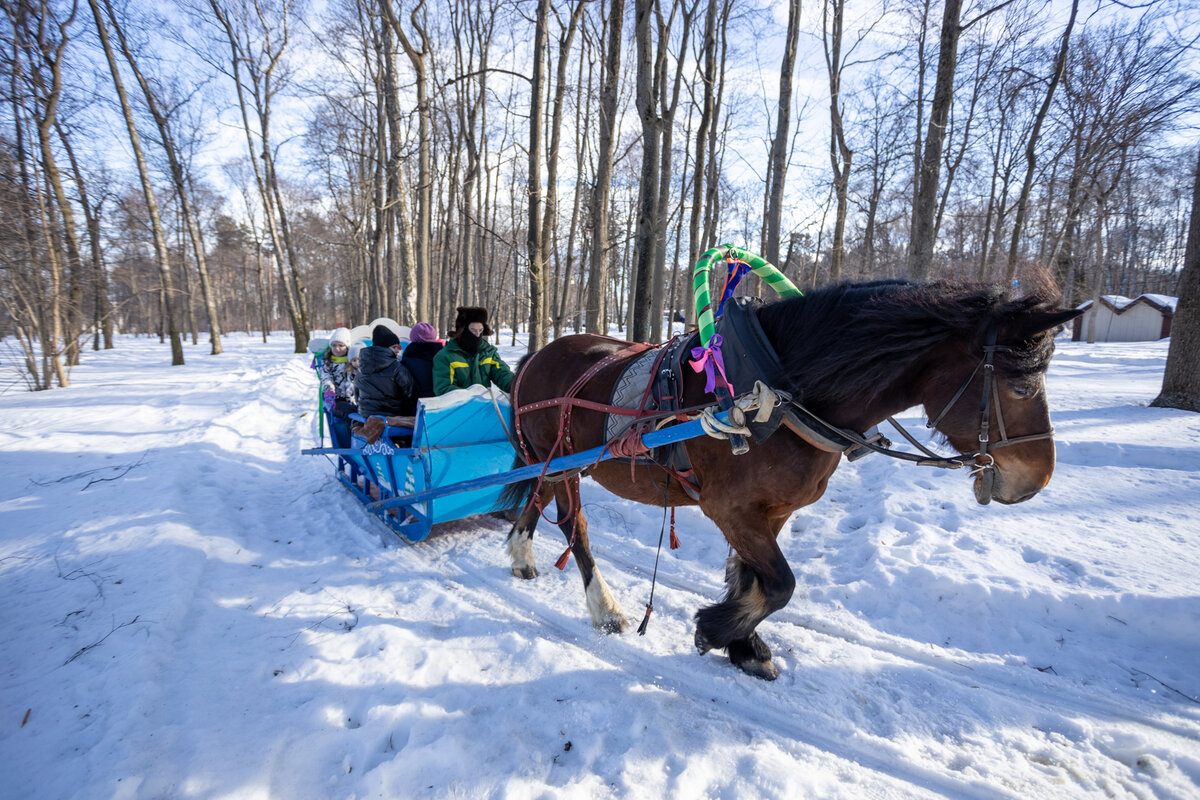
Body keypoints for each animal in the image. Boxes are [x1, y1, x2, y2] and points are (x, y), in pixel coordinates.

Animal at [496, 278, 1080, 681]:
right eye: (1021, 387)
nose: (1035, 480)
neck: (776, 393)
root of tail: (538, 354)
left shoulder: (770, 512)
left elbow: (752, 579)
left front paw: (742, 645)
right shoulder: (731, 510)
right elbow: (780, 584)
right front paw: (716, 631)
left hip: (551, 462)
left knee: (538, 500)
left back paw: (521, 554)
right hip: (564, 463)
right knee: (574, 525)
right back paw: (606, 609)